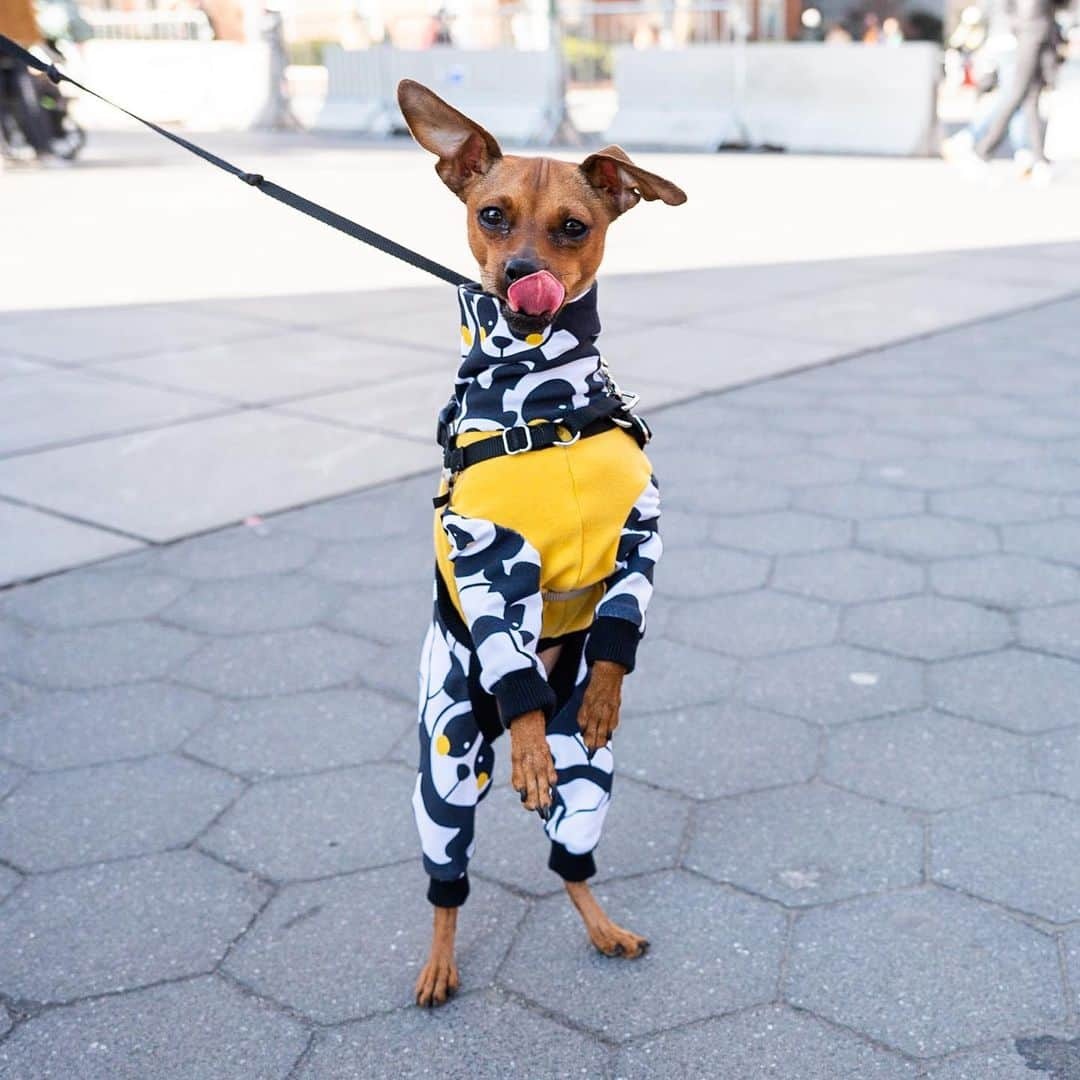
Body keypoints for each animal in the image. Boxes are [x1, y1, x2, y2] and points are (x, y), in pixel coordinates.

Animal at [399, 79, 691, 1006]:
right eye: (491, 214)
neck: (545, 403)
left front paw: (603, 693)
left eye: (573, 226)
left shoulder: (643, 531)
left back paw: (602, 926)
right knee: (447, 871)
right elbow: (510, 650)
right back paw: (440, 959)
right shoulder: (489, 561)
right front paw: (528, 746)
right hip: (448, 754)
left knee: (570, 858)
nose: (521, 277)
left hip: (590, 781)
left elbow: (618, 630)